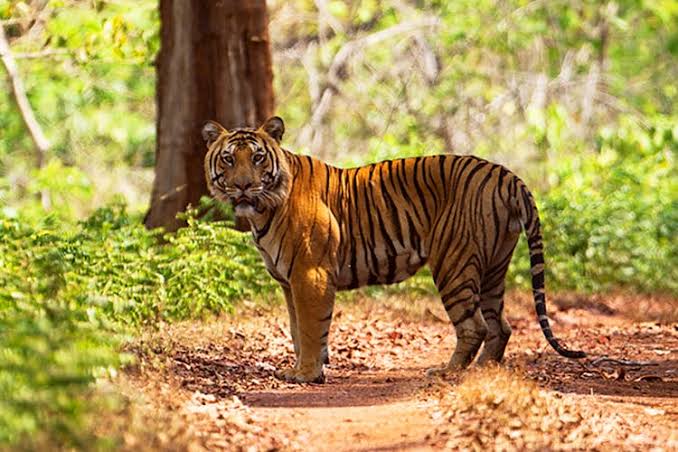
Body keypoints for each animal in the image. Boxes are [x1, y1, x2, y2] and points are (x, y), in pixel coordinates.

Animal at [202, 116, 585, 383]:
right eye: (228, 160)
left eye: (257, 158)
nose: (243, 187)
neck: (263, 211)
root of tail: (506, 174)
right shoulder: (288, 281)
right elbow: (298, 330)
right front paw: (306, 368)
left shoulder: (310, 274)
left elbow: (310, 328)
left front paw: (306, 374)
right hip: (494, 267)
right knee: (500, 327)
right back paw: (482, 371)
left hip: (453, 263)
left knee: (474, 326)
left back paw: (448, 372)